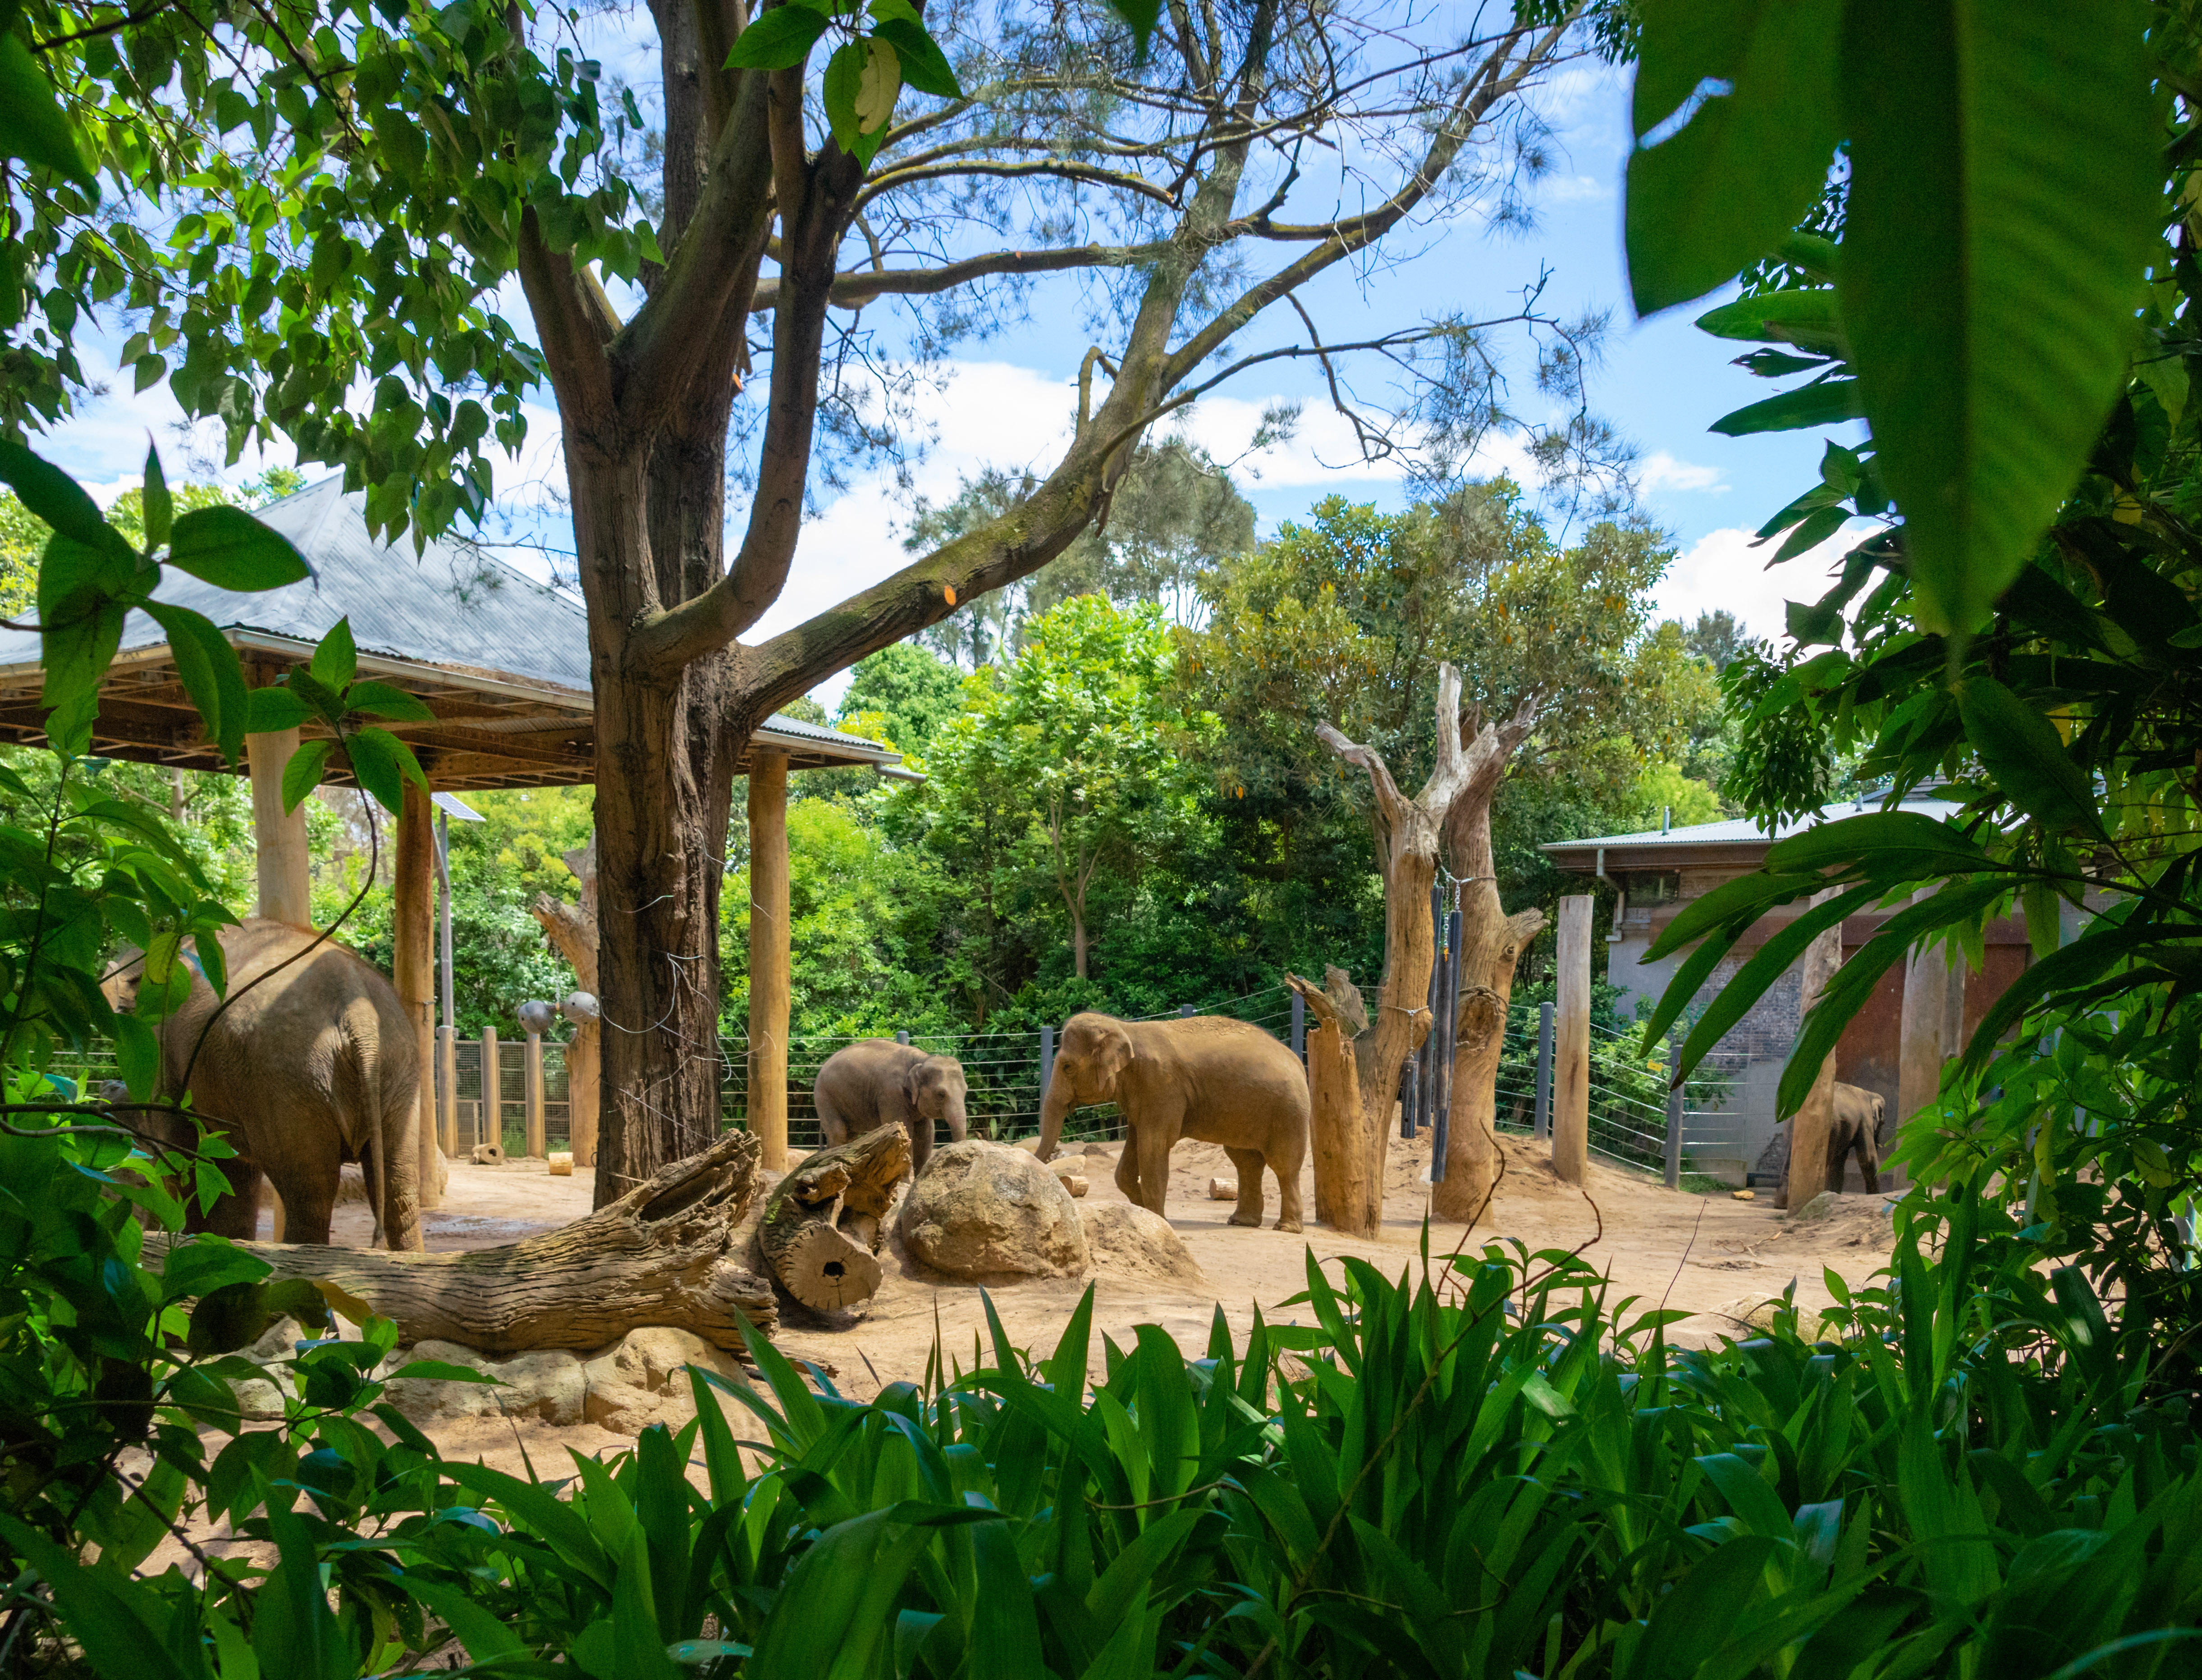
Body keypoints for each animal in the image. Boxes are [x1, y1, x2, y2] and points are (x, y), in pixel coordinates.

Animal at [102, 918, 423, 1250]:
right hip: (398, 1075)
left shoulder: (166, 1054)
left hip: (291, 1080)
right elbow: (230, 1169)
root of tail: (359, 1013)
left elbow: (182, 1151)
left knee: (309, 1195)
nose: (108, 1089)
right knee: (400, 1192)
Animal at [814, 1038, 969, 1174]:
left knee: (848, 1137)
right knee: (839, 1134)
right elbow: (905, 1130)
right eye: (941, 1094)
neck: (921, 1060)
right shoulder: (891, 1093)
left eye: (966, 1090)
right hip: (825, 1097)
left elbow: (926, 1134)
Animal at [1037, 1011, 1307, 1232]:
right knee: (1246, 1162)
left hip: (1288, 1111)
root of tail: (1297, 1061)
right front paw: (1144, 1214)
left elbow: (1154, 1148)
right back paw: (1242, 1222)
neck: (1126, 1028)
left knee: (1284, 1165)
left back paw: (1287, 1228)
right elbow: (1130, 1156)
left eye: (1067, 1067)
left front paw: (1158, 1220)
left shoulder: (1162, 1085)